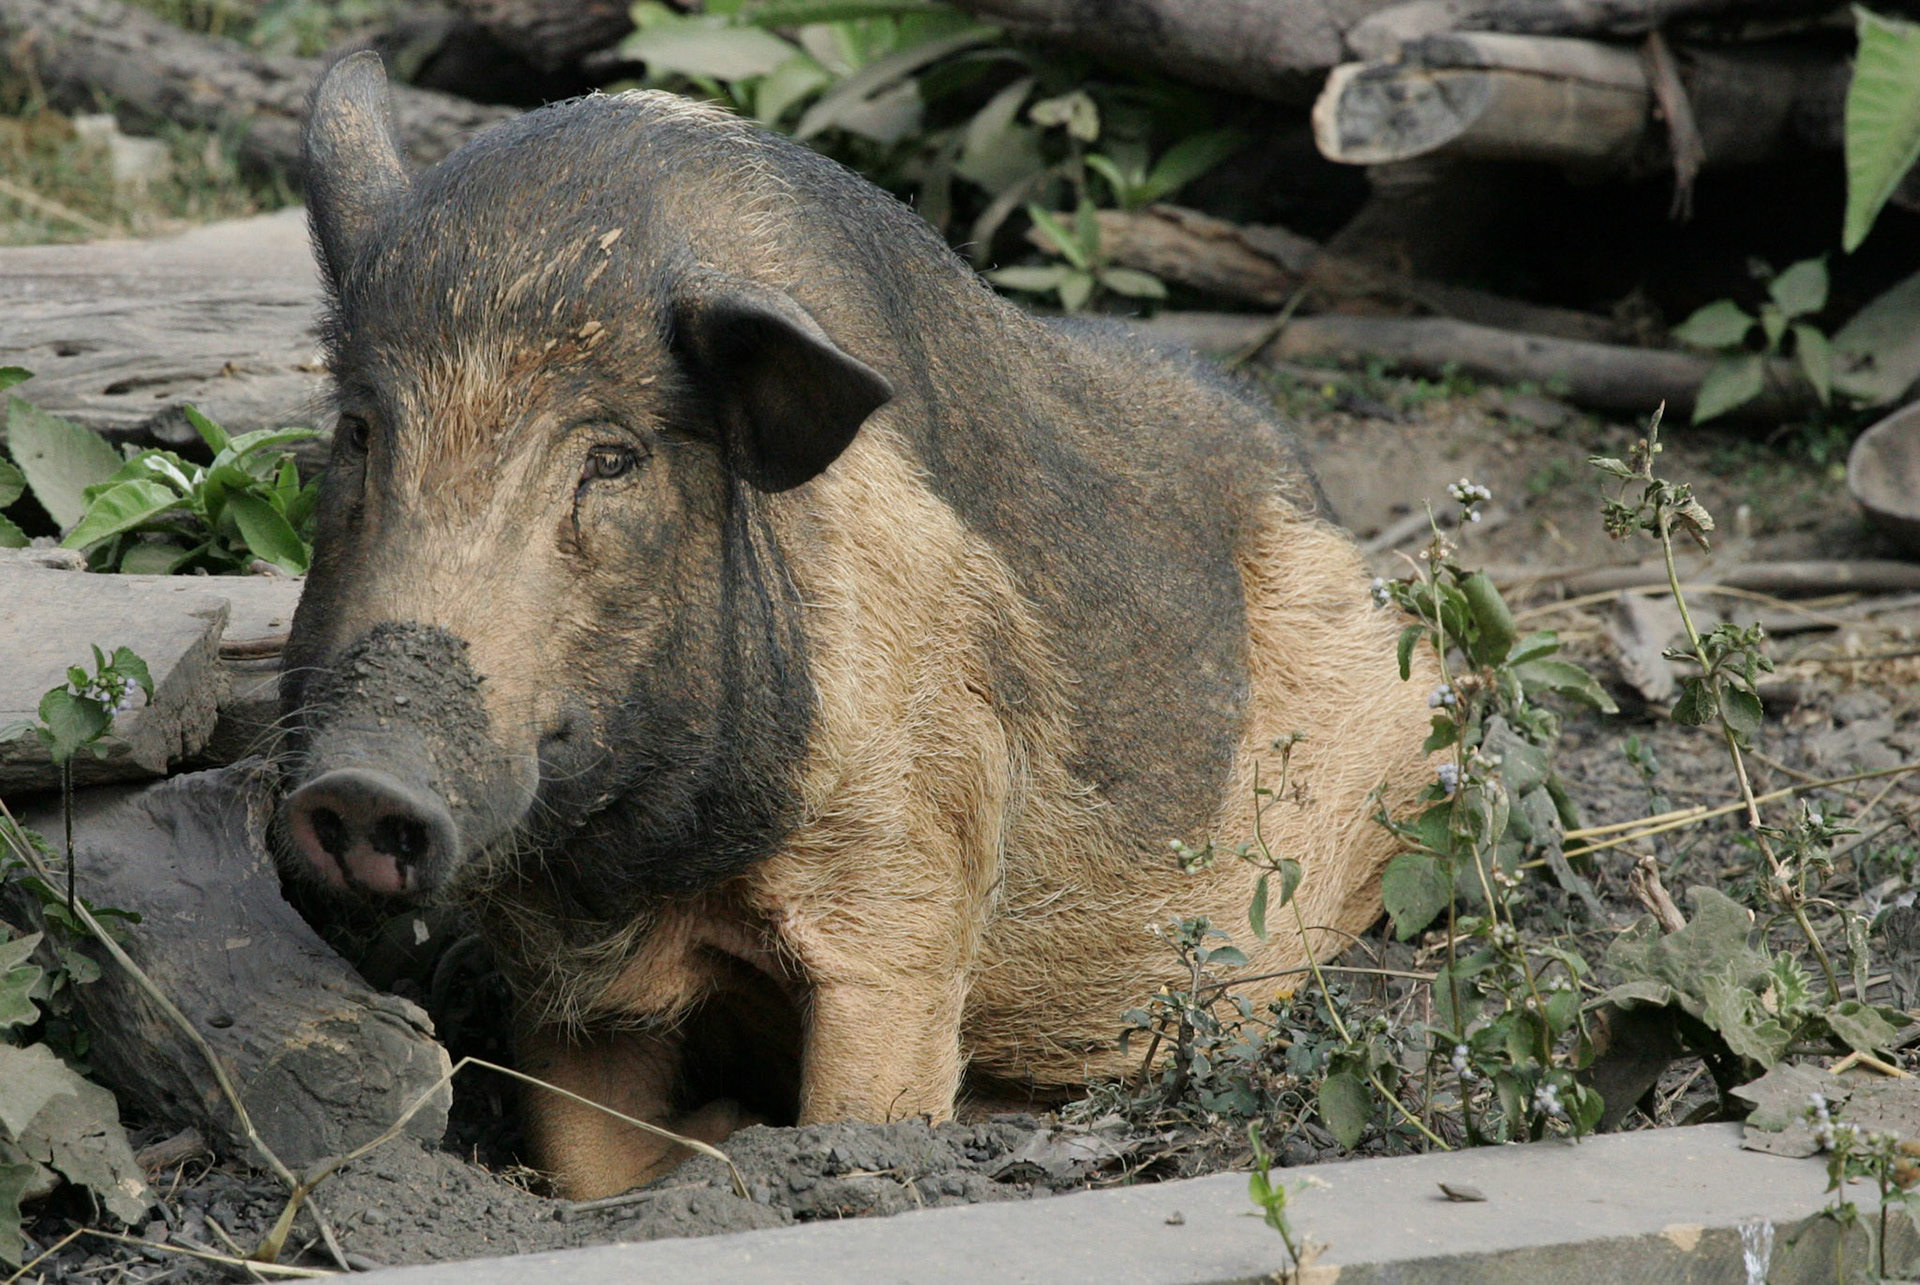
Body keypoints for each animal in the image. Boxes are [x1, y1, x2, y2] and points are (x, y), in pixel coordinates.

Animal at [279, 51, 1439, 1199]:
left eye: (612, 458)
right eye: (361, 431)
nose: (364, 784)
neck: (643, 878)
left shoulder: (911, 866)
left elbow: (862, 1101)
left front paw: (786, 1138)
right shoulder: (568, 983)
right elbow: (582, 1160)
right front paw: (707, 1135)